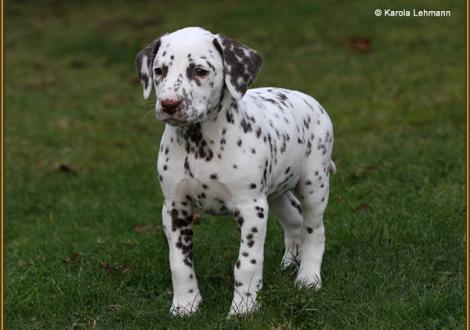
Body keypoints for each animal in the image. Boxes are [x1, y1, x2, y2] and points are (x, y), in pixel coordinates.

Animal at [134, 26, 336, 318]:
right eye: (159, 70)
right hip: (275, 194)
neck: (199, 143)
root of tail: (309, 100)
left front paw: (244, 308)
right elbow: (179, 263)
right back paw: (290, 262)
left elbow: (247, 263)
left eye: (200, 71)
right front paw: (185, 305)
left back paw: (308, 277)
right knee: (294, 218)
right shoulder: (174, 208)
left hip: (314, 184)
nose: (169, 104)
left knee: (314, 230)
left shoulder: (251, 208)